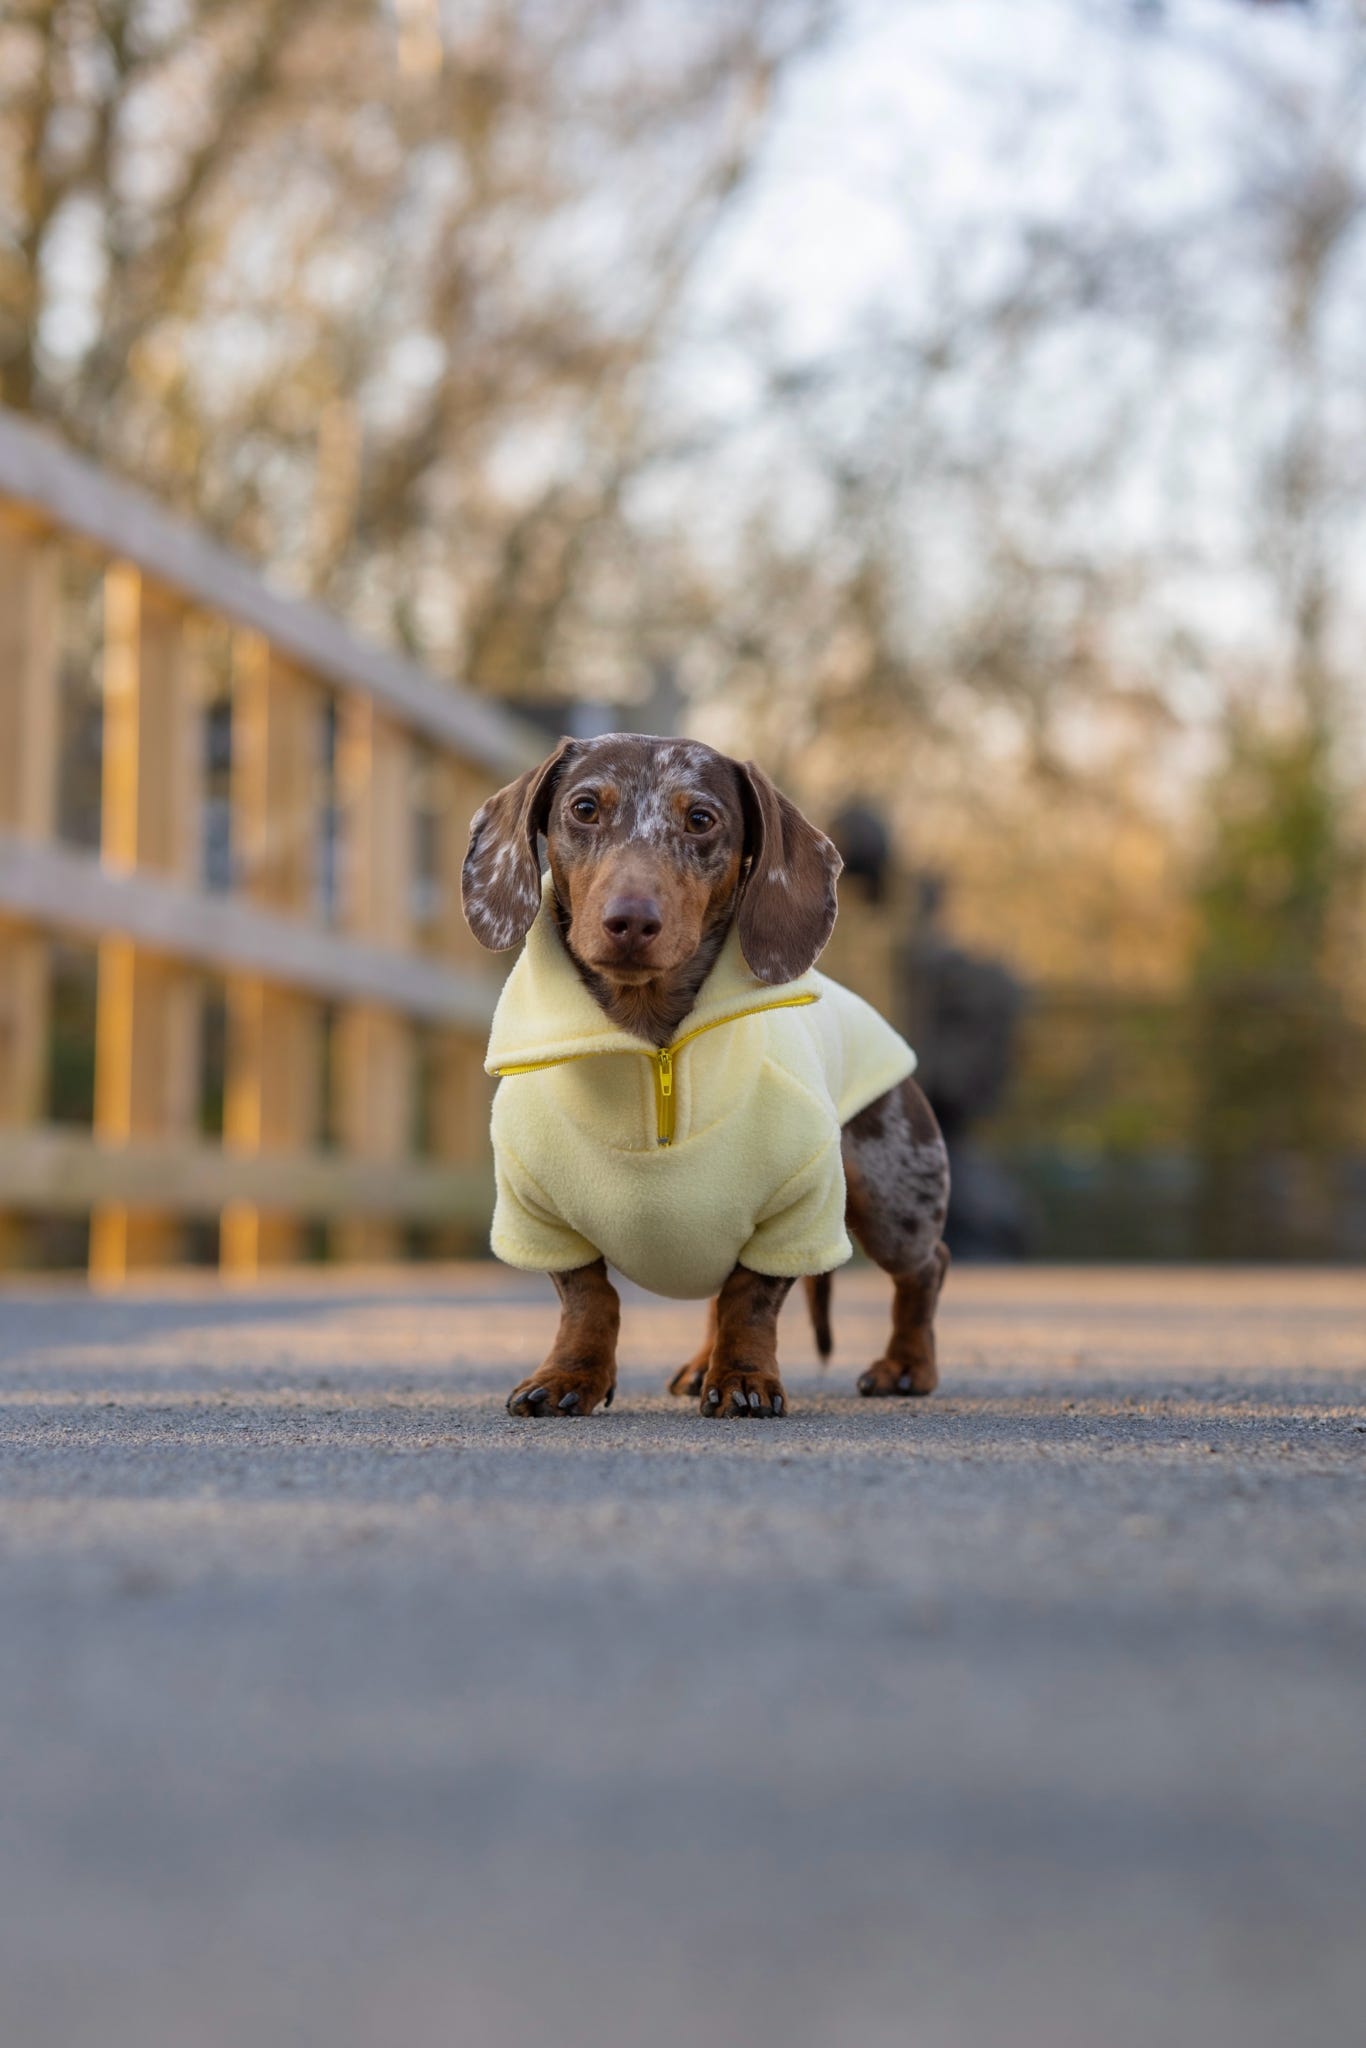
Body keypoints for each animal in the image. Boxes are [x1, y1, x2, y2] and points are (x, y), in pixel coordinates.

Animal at [462, 737, 950, 1425]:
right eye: (583, 808)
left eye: (700, 818)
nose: (630, 921)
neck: (652, 1045)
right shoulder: (539, 1215)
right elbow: (589, 1299)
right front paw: (567, 1376)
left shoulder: (797, 1210)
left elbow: (750, 1297)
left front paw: (744, 1378)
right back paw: (700, 1366)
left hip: (892, 1197)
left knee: (925, 1267)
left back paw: (906, 1366)